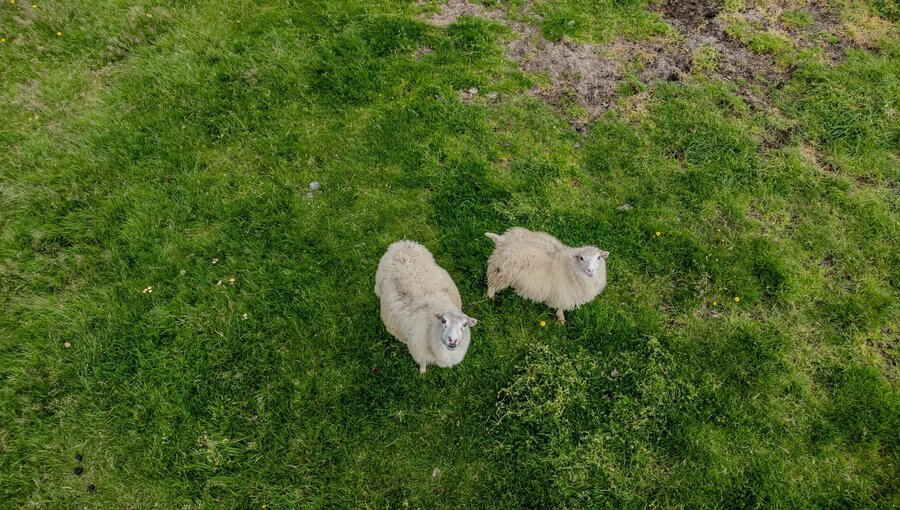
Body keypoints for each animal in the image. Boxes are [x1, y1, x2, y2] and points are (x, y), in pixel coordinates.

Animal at [375, 240, 478, 374]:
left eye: (465, 324)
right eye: (443, 321)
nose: (452, 341)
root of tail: (402, 243)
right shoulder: (419, 353)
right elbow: (423, 364)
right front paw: (422, 373)